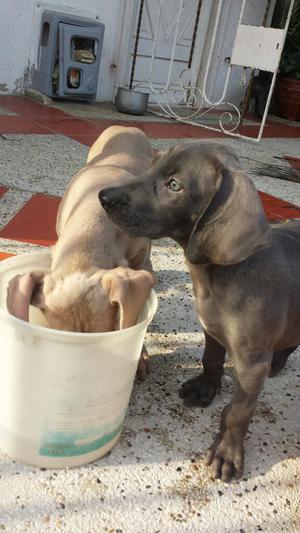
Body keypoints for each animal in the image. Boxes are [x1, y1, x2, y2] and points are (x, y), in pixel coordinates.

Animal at [98, 142, 300, 482]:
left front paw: (227, 452)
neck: (216, 277)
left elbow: (238, 411)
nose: (104, 196)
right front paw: (205, 388)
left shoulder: (251, 364)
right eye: (153, 165)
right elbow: (211, 360)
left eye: (174, 185)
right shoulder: (212, 331)